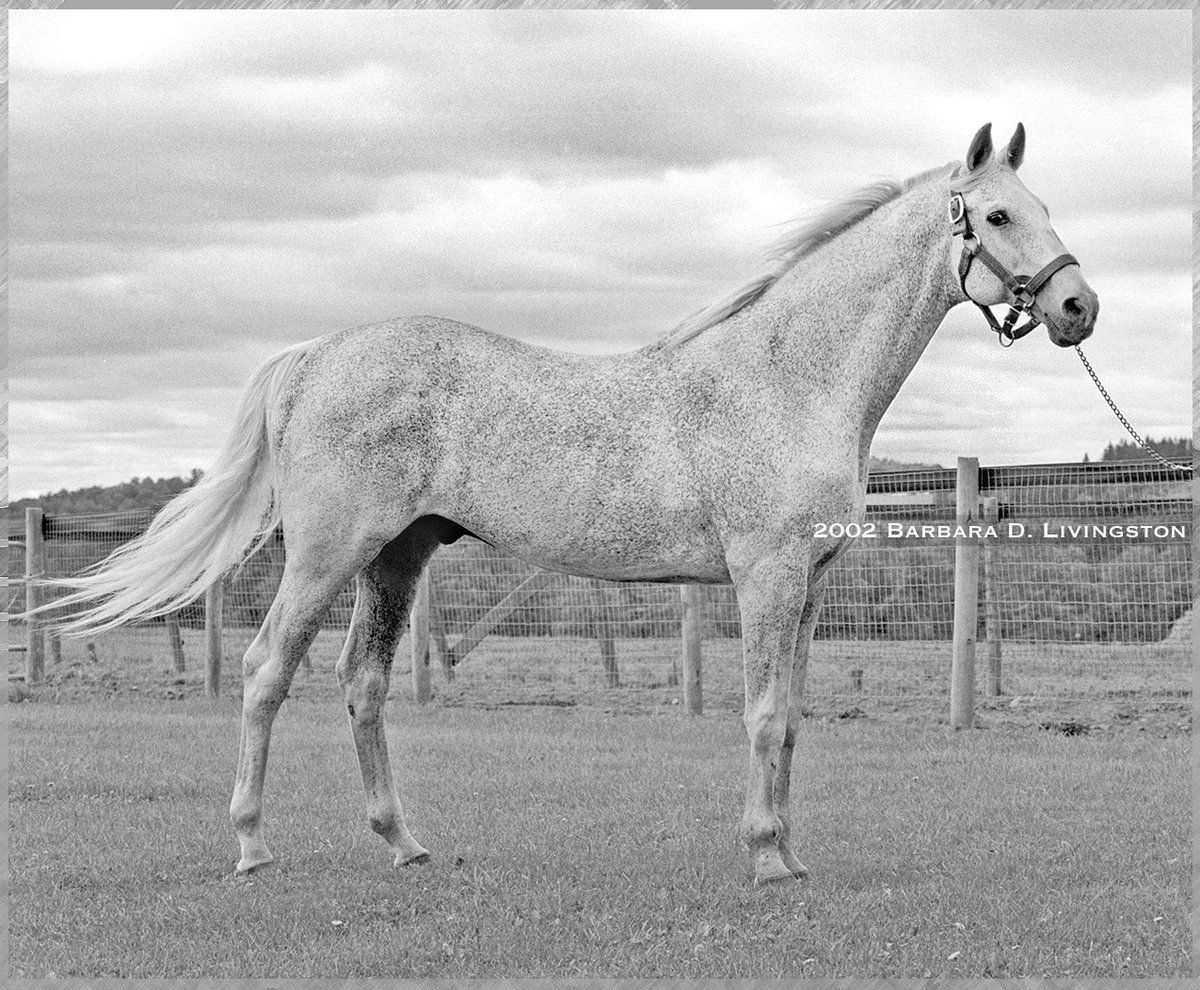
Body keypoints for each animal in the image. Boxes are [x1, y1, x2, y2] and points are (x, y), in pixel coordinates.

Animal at [49, 120, 1099, 883]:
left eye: (1044, 205)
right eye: (996, 216)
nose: (1078, 308)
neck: (789, 378)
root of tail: (314, 356)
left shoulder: (808, 586)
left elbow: (792, 718)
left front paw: (790, 855)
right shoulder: (767, 578)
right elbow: (763, 715)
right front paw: (765, 861)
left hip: (398, 555)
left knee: (362, 682)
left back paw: (403, 843)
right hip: (326, 553)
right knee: (268, 670)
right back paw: (253, 845)